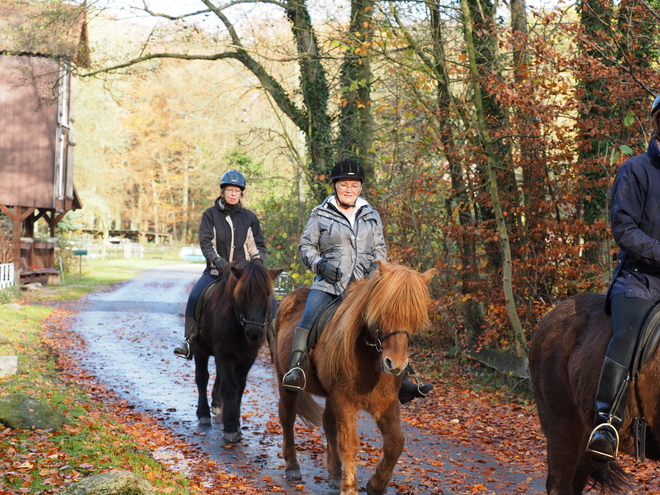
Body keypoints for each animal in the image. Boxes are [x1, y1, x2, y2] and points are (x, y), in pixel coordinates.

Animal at [193, 262, 282, 444]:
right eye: (242, 295)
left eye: (266, 295)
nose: (254, 333)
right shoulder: (225, 354)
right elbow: (229, 386)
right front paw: (230, 427)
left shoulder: (247, 357)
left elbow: (240, 386)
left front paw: (236, 423)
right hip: (200, 349)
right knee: (202, 378)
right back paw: (204, 413)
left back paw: (217, 404)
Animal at [270, 262, 436, 494]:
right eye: (383, 312)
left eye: (415, 317)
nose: (395, 364)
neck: (369, 359)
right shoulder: (344, 400)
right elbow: (349, 443)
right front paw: (349, 487)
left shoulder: (386, 403)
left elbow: (395, 443)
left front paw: (376, 484)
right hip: (286, 384)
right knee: (287, 417)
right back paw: (293, 466)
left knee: (328, 424)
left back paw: (335, 473)